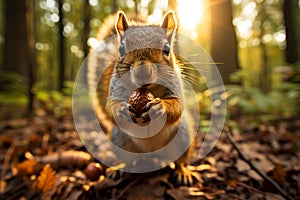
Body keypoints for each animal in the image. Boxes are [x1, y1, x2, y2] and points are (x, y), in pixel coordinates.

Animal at [87, 10, 199, 186]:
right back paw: (118, 169)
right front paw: (120, 109)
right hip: (120, 141)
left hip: (183, 136)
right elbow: (110, 106)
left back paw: (183, 172)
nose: (142, 72)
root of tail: (151, 154)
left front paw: (161, 107)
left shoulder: (175, 86)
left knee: (179, 160)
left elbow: (177, 106)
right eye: (121, 49)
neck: (147, 89)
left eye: (167, 49)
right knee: (127, 160)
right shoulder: (115, 89)